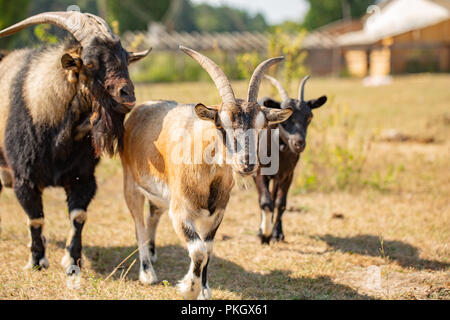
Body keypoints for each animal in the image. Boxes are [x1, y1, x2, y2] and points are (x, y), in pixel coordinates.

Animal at [0, 11, 151, 276]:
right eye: (89, 63)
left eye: (125, 59)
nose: (128, 95)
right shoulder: (24, 179)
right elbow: (35, 218)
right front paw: (37, 261)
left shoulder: (83, 177)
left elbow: (78, 217)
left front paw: (73, 262)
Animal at [119, 46, 294, 298]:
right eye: (220, 125)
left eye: (262, 126)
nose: (247, 164)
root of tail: (140, 109)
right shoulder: (181, 212)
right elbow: (199, 250)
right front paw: (189, 289)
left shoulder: (216, 212)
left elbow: (209, 248)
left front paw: (203, 290)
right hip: (131, 184)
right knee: (139, 225)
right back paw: (147, 273)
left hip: (159, 195)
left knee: (152, 216)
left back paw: (152, 253)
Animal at [253, 75, 326, 245]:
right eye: (285, 118)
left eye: (309, 117)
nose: (298, 143)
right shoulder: (259, 172)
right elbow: (265, 201)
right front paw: (263, 235)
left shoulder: (288, 175)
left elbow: (280, 203)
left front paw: (276, 234)